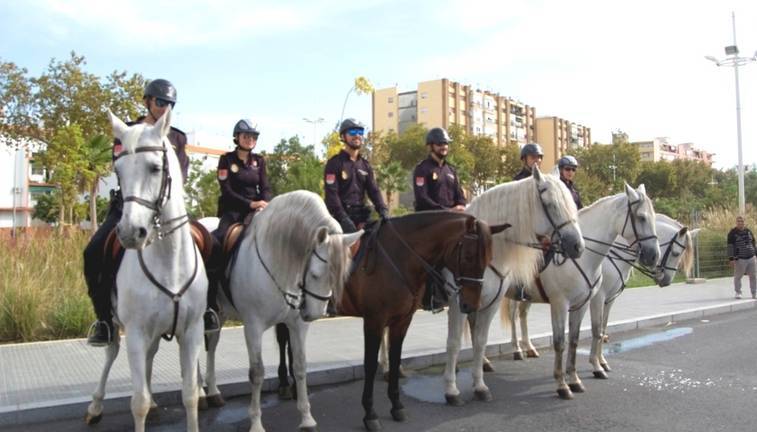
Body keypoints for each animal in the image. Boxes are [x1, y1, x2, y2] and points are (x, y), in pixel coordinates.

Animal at [201, 190, 360, 432]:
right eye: (315, 274)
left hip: (221, 313)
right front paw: (256, 423)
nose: (314, 314)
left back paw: (212, 392)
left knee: (212, 345)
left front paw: (307, 418)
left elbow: (300, 365)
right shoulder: (253, 327)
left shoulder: (297, 325)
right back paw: (202, 394)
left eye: (338, 277)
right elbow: (257, 373)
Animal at [442, 168, 586, 406]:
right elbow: (453, 343)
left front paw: (479, 386)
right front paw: (451, 390)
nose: (578, 246)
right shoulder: (456, 303)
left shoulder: (489, 302)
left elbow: (480, 341)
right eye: (551, 204)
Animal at [500, 184, 660, 399]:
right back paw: (512, 352)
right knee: (507, 316)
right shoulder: (563, 304)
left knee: (519, 315)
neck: (583, 257)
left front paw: (575, 379)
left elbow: (577, 339)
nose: (654, 256)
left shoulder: (584, 303)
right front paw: (563, 384)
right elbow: (563, 341)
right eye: (642, 217)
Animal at [588, 213, 697, 377]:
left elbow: (603, 329)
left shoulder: (609, 299)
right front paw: (596, 366)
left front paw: (602, 362)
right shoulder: (598, 299)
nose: (666, 281)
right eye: (676, 253)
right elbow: (597, 331)